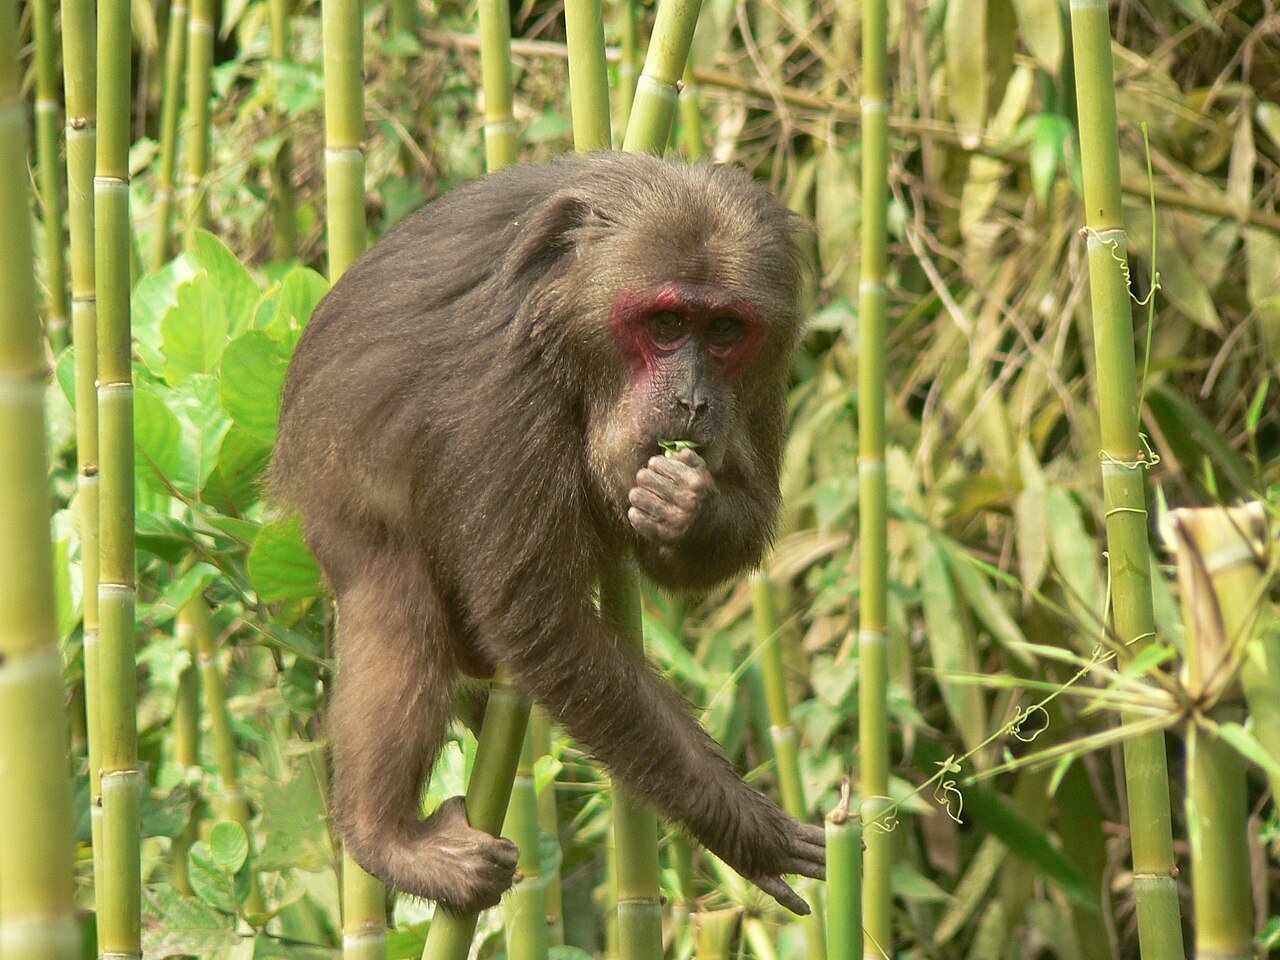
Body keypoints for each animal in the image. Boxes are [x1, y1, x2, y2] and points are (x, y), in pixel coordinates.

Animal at [271, 151, 825, 916]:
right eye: (666, 322)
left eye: (723, 332)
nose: (693, 400)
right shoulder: (504, 387)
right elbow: (537, 622)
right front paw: (741, 825)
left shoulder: (769, 364)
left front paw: (689, 508)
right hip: (331, 483)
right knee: (395, 601)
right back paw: (383, 838)